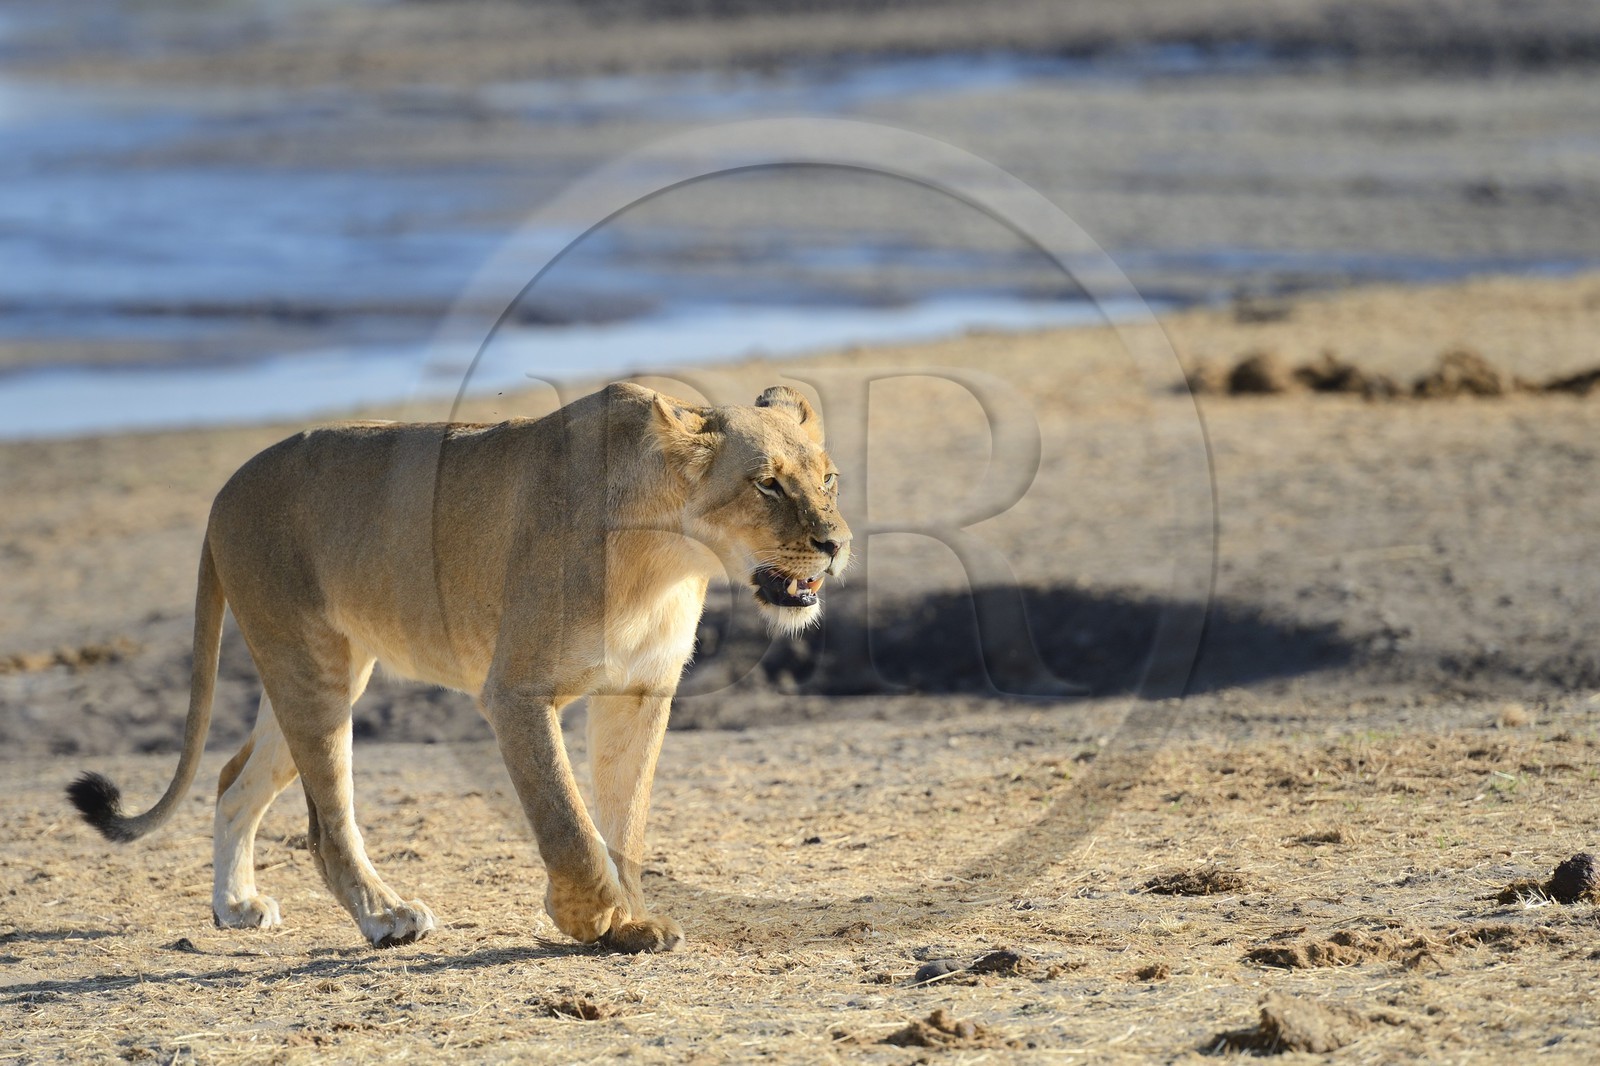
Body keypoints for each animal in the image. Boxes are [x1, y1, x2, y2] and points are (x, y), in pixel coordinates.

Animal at [67, 382, 850, 952]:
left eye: (830, 479)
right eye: (767, 485)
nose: (836, 543)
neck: (671, 556)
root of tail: (225, 490)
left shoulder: (639, 692)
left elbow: (624, 823)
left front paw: (630, 920)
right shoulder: (515, 692)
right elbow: (568, 820)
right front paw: (588, 917)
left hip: (318, 672)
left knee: (234, 779)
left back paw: (235, 905)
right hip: (310, 666)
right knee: (325, 826)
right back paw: (386, 917)